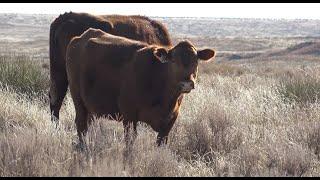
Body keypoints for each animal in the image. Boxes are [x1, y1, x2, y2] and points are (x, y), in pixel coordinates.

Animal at [65, 28, 215, 149]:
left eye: (196, 61)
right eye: (173, 61)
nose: (187, 83)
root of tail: (81, 37)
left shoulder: (170, 120)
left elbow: (161, 144)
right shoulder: (129, 115)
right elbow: (130, 142)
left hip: (90, 106)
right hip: (78, 98)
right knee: (81, 125)